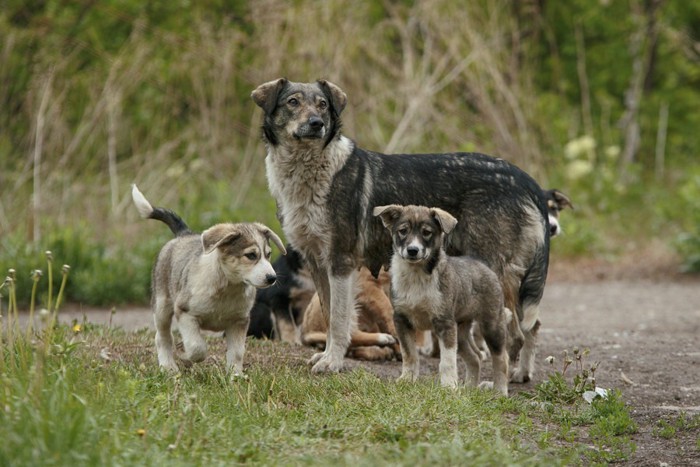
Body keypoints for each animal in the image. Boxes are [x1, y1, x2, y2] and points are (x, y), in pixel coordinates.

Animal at [130, 185, 286, 374]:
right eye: (251, 255)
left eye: (268, 254)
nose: (272, 278)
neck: (228, 288)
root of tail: (183, 234)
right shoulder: (185, 313)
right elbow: (197, 347)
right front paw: (185, 355)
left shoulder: (239, 321)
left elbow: (237, 352)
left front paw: (235, 375)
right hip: (161, 306)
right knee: (163, 337)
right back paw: (168, 366)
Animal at [374, 206, 506, 394]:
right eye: (403, 231)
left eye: (427, 233)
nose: (412, 250)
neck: (416, 276)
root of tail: (483, 265)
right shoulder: (401, 319)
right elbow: (409, 354)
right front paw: (406, 380)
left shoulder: (444, 323)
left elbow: (447, 361)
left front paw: (449, 386)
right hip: (461, 332)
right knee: (474, 358)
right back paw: (469, 389)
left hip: (491, 325)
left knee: (501, 359)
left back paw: (500, 391)